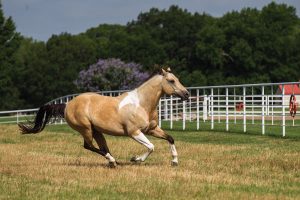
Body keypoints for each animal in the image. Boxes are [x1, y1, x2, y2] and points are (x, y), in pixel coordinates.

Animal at [18, 68, 188, 167]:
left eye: (178, 78)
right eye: (171, 81)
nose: (186, 94)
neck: (141, 104)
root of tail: (67, 105)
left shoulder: (152, 129)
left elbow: (170, 138)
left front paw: (174, 161)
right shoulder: (134, 133)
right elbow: (151, 146)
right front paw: (136, 159)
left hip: (97, 131)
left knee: (102, 147)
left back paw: (114, 162)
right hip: (86, 129)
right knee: (89, 146)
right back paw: (112, 161)